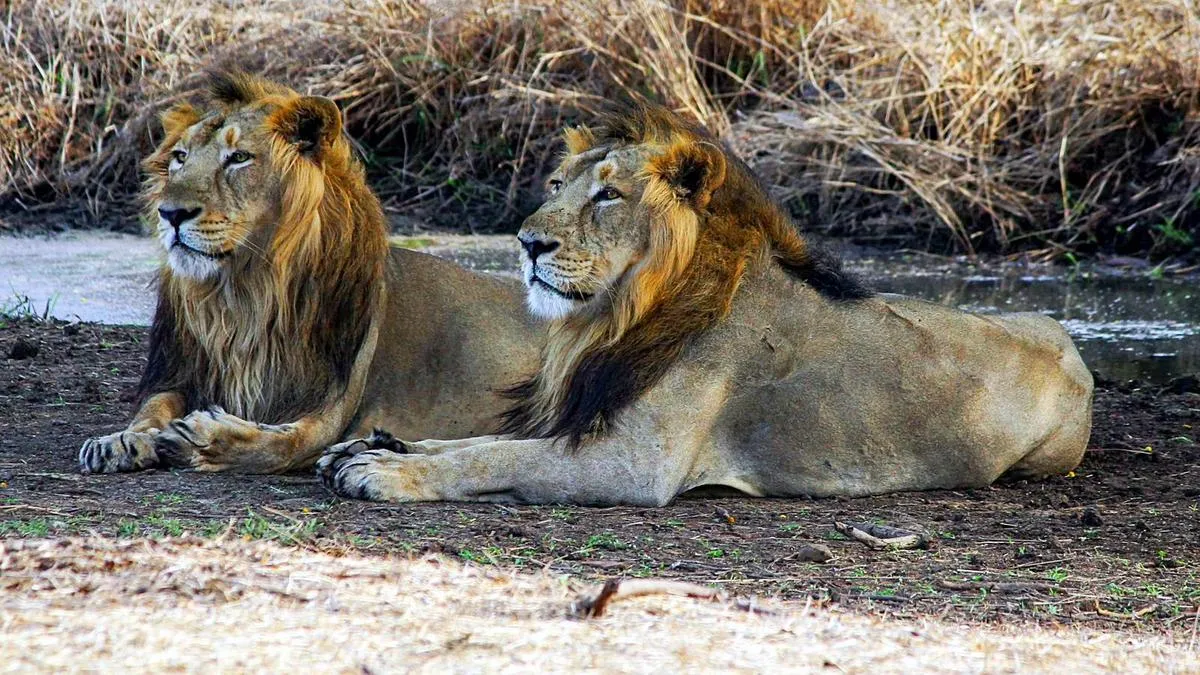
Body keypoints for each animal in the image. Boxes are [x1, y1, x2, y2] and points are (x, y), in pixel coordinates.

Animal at [78, 71, 539, 474]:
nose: (170, 213)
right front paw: (122, 439)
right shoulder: (182, 370)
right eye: (180, 158)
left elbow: (282, 443)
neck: (245, 292)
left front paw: (205, 438)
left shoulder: (331, 406)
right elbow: (153, 405)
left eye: (238, 158)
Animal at [316, 104, 1094, 506]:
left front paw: (390, 472)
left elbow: (494, 458)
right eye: (558, 183)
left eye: (608, 194)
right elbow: (480, 440)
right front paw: (377, 445)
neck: (613, 317)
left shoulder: (635, 466)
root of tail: (1068, 339)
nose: (528, 242)